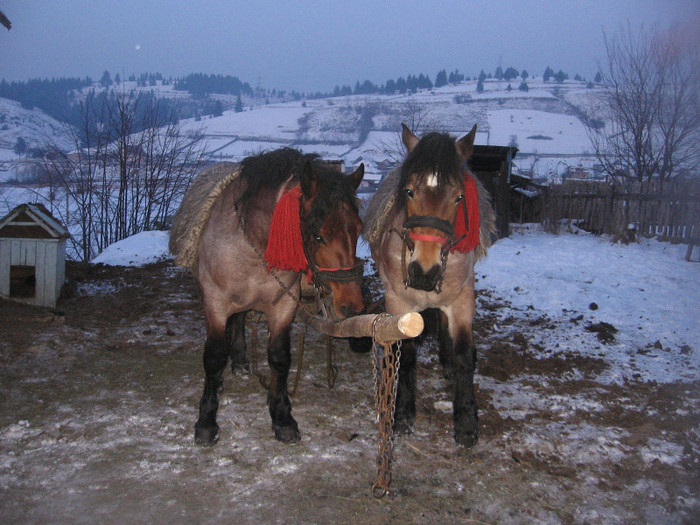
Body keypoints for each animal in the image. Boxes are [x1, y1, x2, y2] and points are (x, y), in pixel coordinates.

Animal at [171, 148, 366, 446]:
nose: (352, 304)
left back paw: (240, 360)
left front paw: (282, 416)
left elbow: (279, 357)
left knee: (239, 319)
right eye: (317, 236)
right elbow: (214, 357)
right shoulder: (215, 304)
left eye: (358, 230)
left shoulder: (284, 305)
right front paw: (206, 422)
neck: (253, 245)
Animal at [364, 124, 494, 446]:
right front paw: (402, 413)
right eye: (409, 191)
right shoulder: (400, 303)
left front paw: (466, 421)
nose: (424, 271)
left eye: (459, 197)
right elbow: (407, 355)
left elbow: (464, 355)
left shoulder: (462, 300)